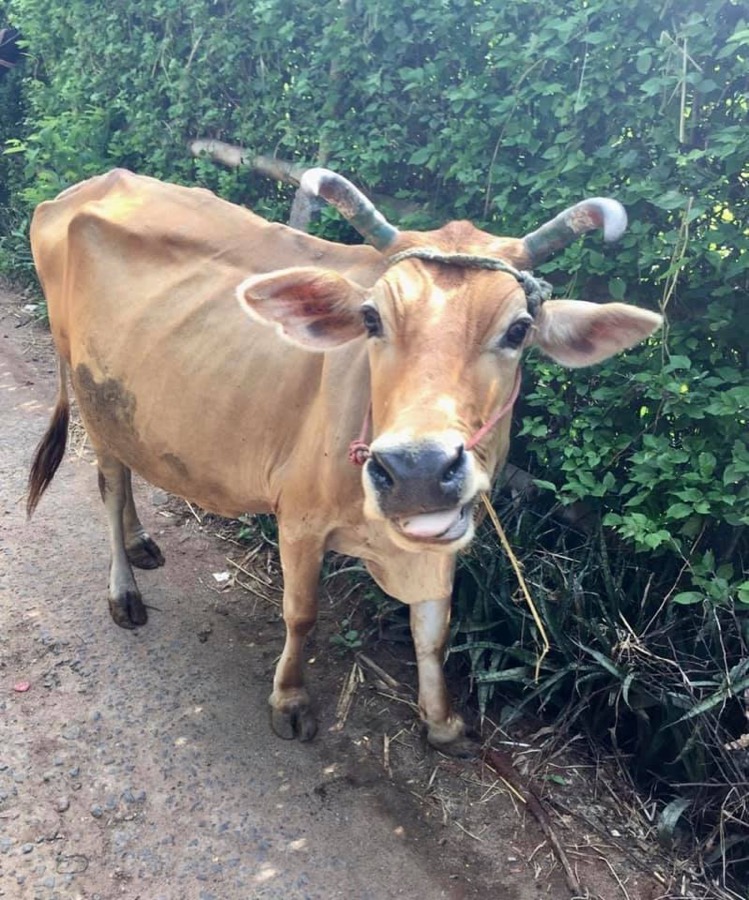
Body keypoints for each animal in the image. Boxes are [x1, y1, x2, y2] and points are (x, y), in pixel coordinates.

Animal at [27, 167, 661, 756]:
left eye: (519, 329)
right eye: (371, 320)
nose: (417, 470)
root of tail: (80, 191)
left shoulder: (444, 538)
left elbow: (434, 629)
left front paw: (441, 721)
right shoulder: (300, 522)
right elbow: (301, 613)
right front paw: (289, 701)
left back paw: (141, 542)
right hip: (89, 395)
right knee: (110, 487)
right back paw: (124, 591)